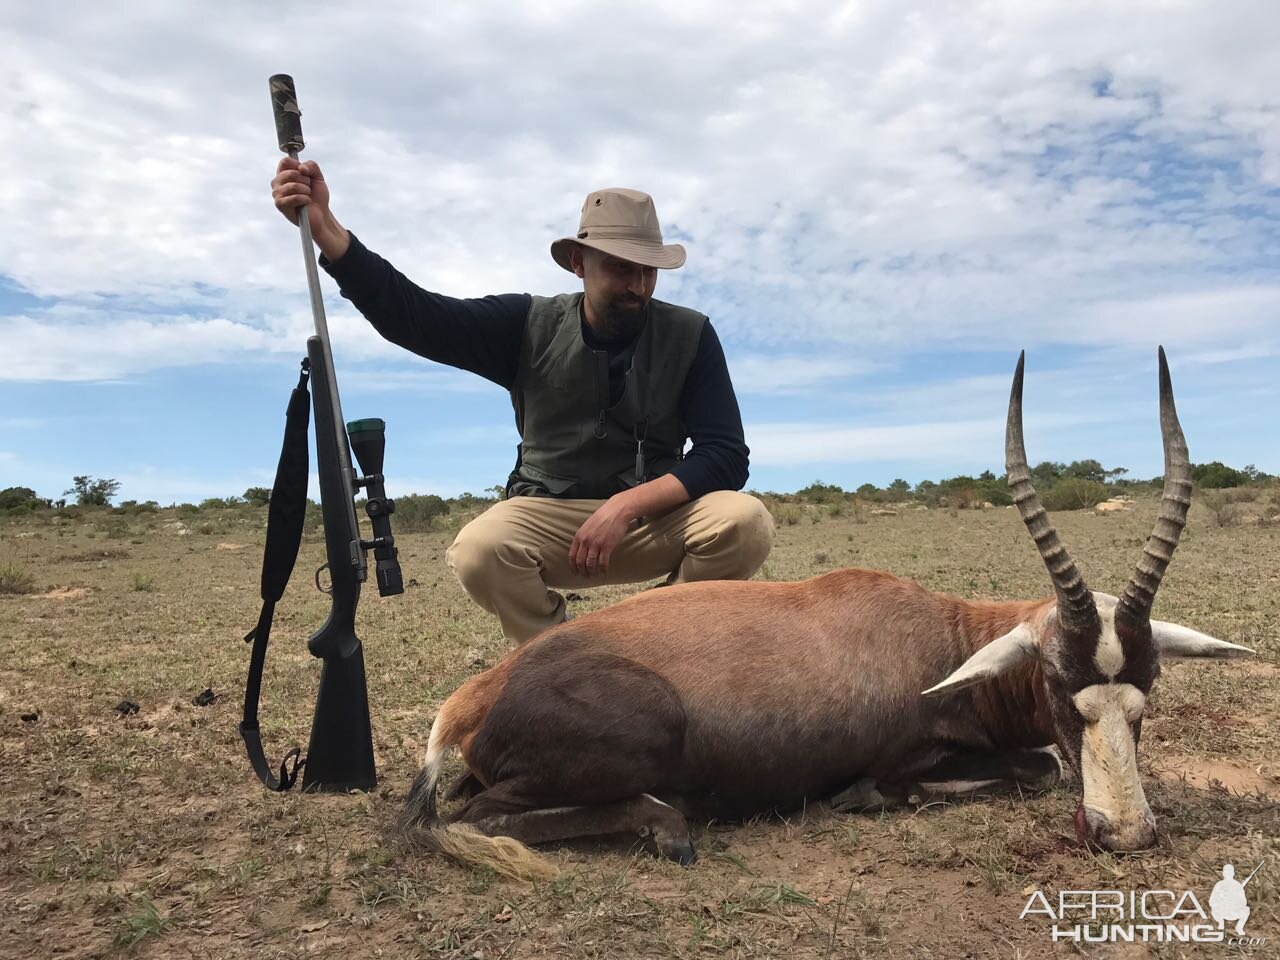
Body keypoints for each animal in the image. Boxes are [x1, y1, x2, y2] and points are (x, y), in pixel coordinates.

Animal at [399, 350, 1249, 880]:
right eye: (1058, 685)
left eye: (1146, 697)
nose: (1125, 833)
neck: (945, 636)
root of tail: (477, 695)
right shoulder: (914, 755)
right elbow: (1036, 766)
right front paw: (860, 796)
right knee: (463, 818)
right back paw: (668, 826)